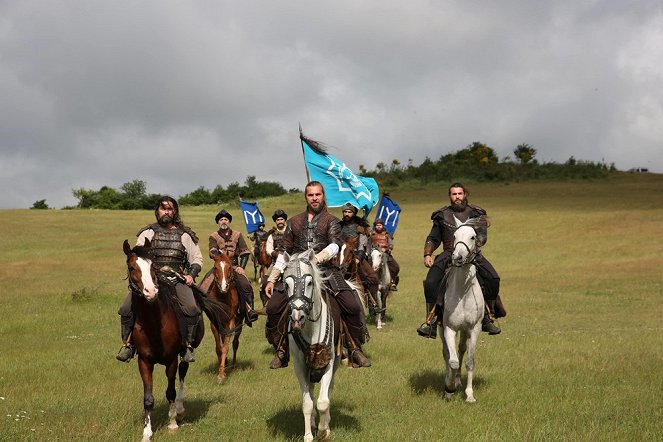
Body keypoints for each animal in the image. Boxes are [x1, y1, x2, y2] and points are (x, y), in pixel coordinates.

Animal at [208, 250, 244, 386]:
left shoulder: (231, 322)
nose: (223, 287)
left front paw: (221, 375)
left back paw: (233, 365)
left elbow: (225, 347)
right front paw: (220, 369)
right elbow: (219, 348)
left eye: (229, 267)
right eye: (215, 267)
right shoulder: (214, 323)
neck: (222, 297)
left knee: (235, 343)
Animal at [282, 250, 340, 440]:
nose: (297, 318)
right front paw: (308, 435)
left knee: (328, 391)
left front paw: (323, 431)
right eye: (286, 284)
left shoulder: (328, 362)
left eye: (309, 282)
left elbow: (323, 401)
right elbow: (307, 403)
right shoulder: (300, 365)